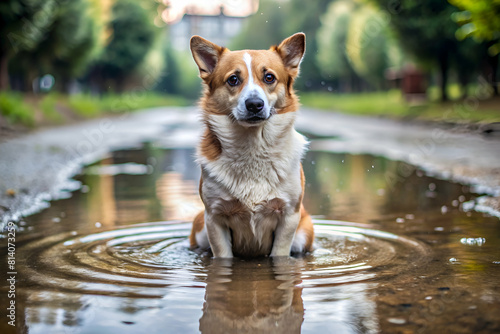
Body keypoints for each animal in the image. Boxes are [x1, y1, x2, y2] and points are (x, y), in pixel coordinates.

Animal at [188, 33, 312, 258]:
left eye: (269, 77)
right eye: (233, 79)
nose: (254, 104)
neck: (253, 144)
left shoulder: (289, 216)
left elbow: (280, 254)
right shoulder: (214, 217)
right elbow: (222, 256)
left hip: (303, 235)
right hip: (200, 232)